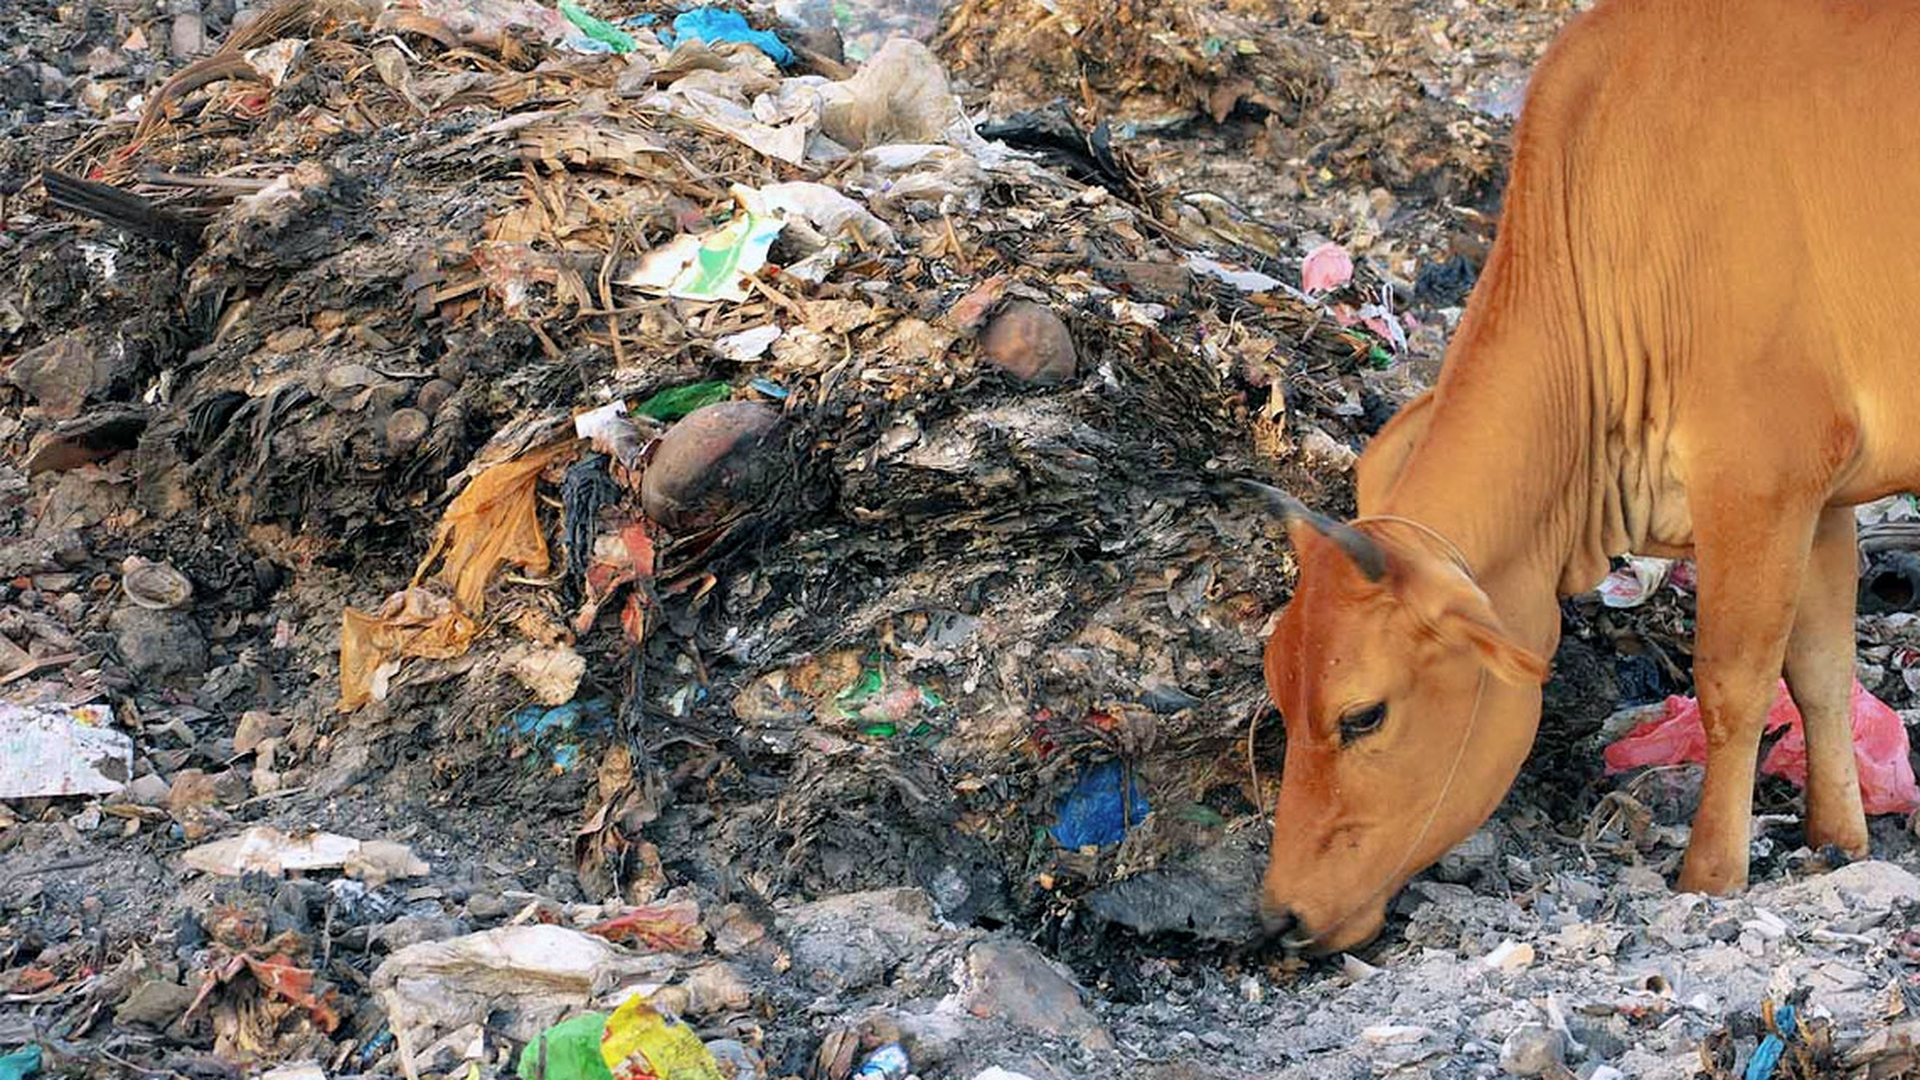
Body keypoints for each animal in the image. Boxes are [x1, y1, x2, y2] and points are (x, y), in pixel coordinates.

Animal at [1253, 0, 1920, 954]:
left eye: (1363, 715)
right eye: (1277, 693)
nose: (1280, 917)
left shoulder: (1760, 477)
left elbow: (1731, 685)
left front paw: (1710, 872)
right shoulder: (1820, 499)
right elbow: (1822, 675)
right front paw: (1839, 837)